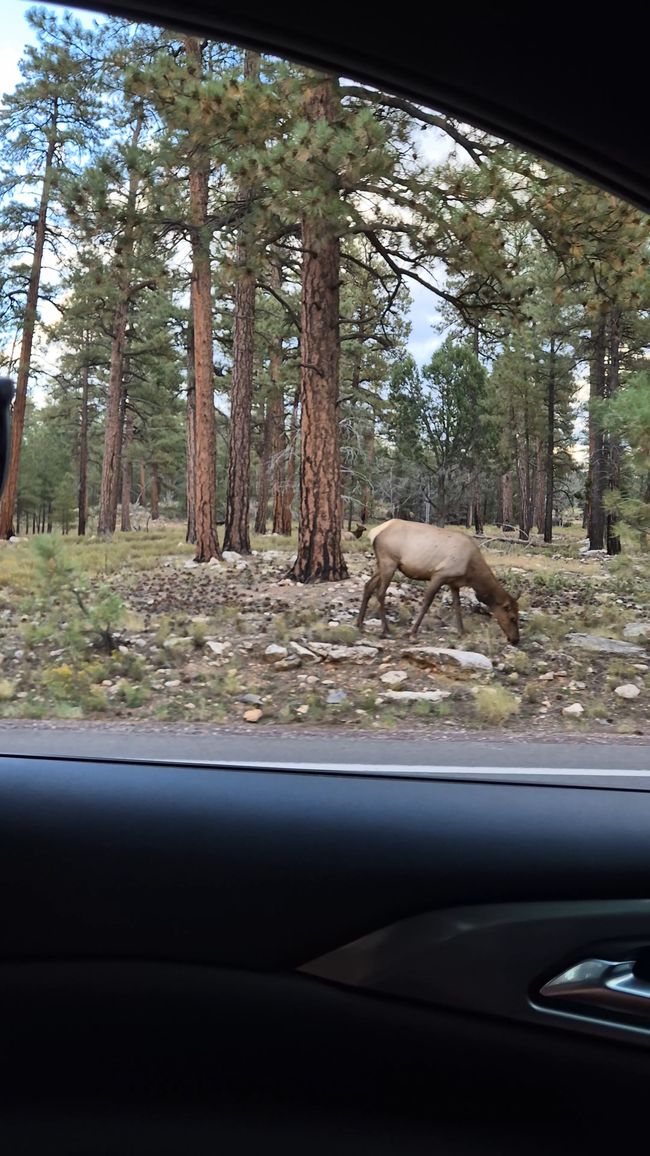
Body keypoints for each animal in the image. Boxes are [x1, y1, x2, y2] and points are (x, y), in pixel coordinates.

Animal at [353, 522, 515, 642]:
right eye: (513, 618)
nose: (515, 639)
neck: (471, 573)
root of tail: (374, 533)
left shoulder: (454, 583)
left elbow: (457, 606)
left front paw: (462, 632)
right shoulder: (439, 575)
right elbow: (426, 603)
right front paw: (412, 632)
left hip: (380, 564)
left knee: (368, 586)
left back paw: (359, 624)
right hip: (389, 562)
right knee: (381, 592)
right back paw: (385, 629)